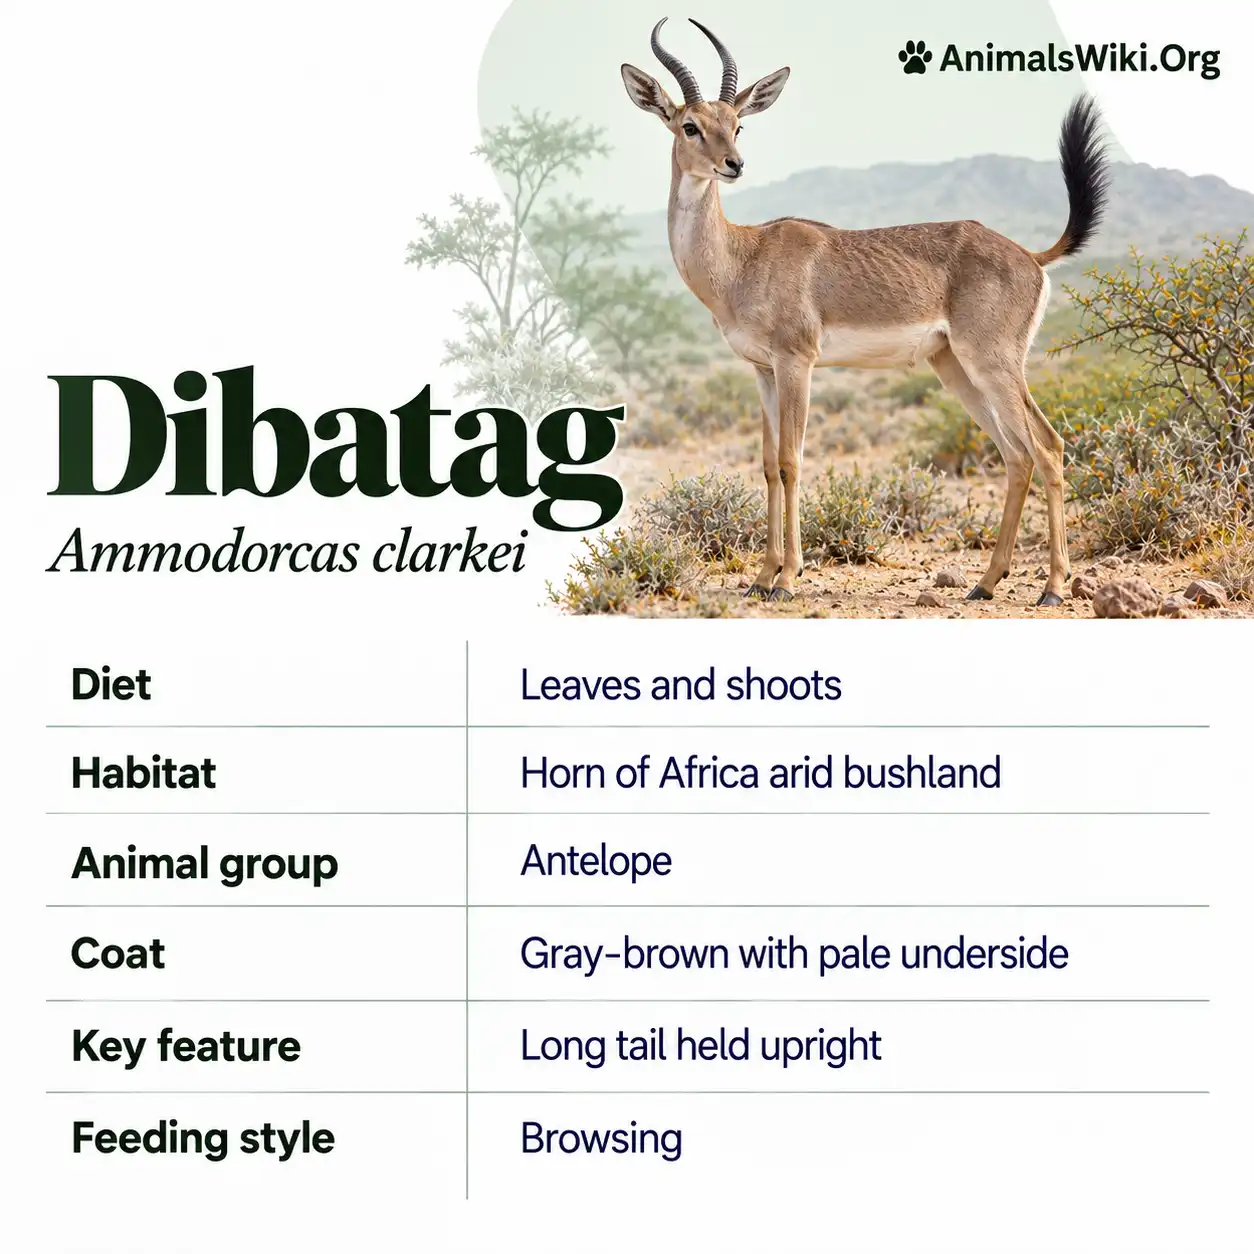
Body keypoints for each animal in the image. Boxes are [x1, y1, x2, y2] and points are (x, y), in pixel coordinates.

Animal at [621, 18, 1109, 605]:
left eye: (738, 125)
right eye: (690, 125)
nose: (733, 164)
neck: (743, 258)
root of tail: (1032, 257)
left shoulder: (797, 363)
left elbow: (791, 461)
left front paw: (788, 578)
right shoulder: (762, 371)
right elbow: (767, 465)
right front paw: (761, 577)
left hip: (993, 364)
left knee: (1049, 447)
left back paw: (1053, 588)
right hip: (956, 369)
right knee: (1017, 455)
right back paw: (985, 583)